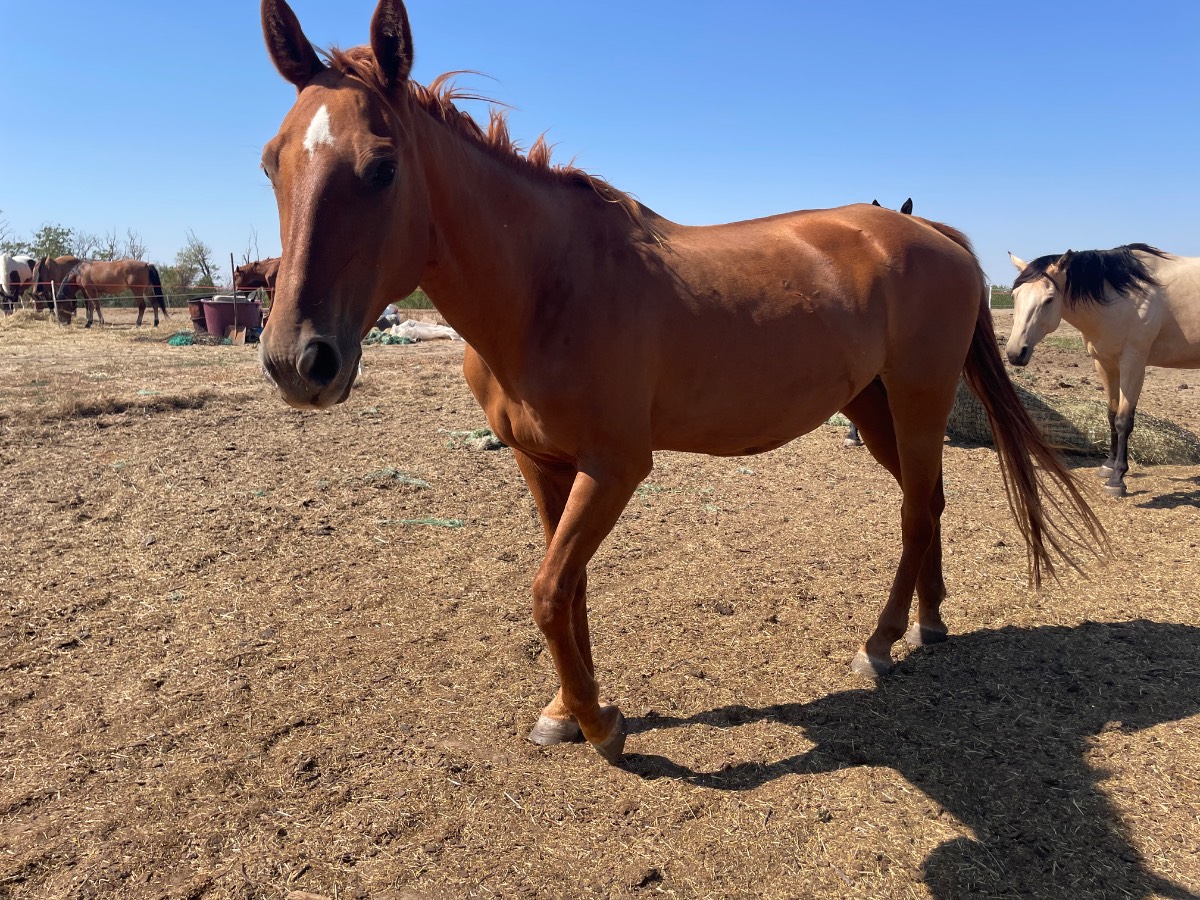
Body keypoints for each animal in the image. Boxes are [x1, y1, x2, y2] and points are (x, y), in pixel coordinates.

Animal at [257, 0, 1104, 764]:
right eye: (272, 161)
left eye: (383, 166)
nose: (298, 361)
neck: (547, 287)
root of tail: (929, 230)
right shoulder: (543, 464)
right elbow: (569, 589)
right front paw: (566, 711)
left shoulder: (615, 468)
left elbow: (548, 591)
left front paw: (600, 724)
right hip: (874, 408)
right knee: (927, 502)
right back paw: (928, 625)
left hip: (920, 397)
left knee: (915, 513)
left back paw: (880, 641)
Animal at [1007, 245, 1200, 497]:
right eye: (1015, 296)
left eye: (1049, 299)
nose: (1015, 353)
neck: (1126, 298)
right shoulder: (1105, 364)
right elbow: (1111, 415)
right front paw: (1108, 466)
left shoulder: (1133, 364)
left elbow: (1123, 420)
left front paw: (1117, 479)